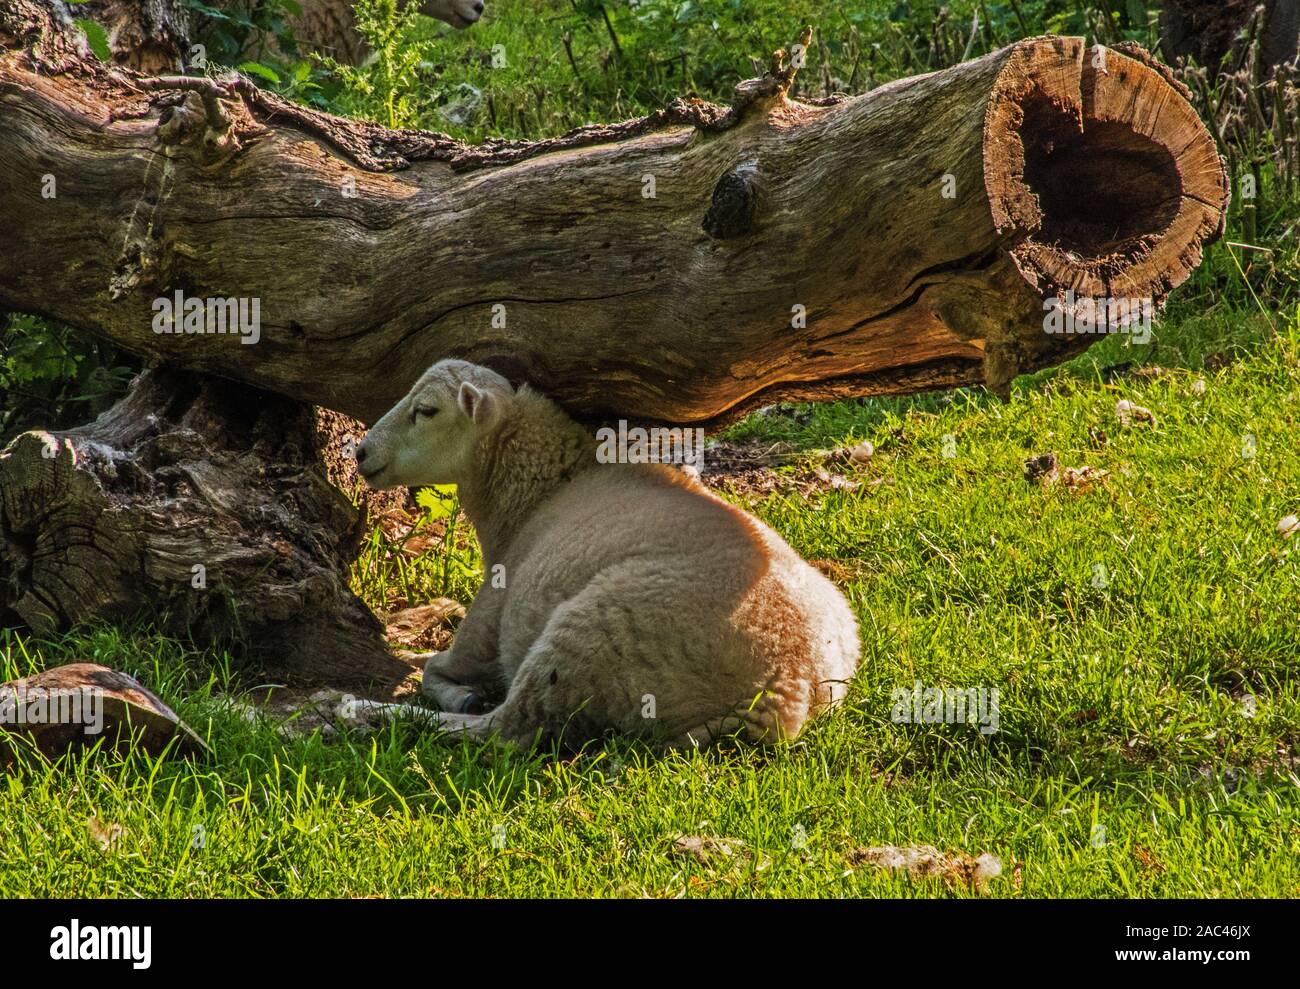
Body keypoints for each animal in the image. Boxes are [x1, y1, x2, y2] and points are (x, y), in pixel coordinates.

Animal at [354, 360, 861, 748]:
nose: (360, 452)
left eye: (426, 410)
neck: (541, 490)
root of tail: (789, 688)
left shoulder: (487, 624)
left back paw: (364, 711)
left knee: (505, 729)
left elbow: (436, 668)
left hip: (591, 634)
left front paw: (450, 687)